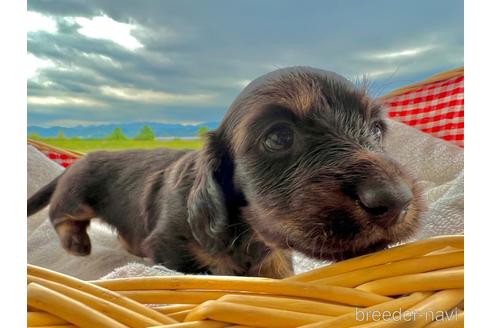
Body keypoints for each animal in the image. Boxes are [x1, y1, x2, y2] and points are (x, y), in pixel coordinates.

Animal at [28, 66, 424, 276]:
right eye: (279, 136)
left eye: (377, 130)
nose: (396, 201)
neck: (246, 231)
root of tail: (81, 161)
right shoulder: (171, 249)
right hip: (77, 193)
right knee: (60, 214)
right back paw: (77, 242)